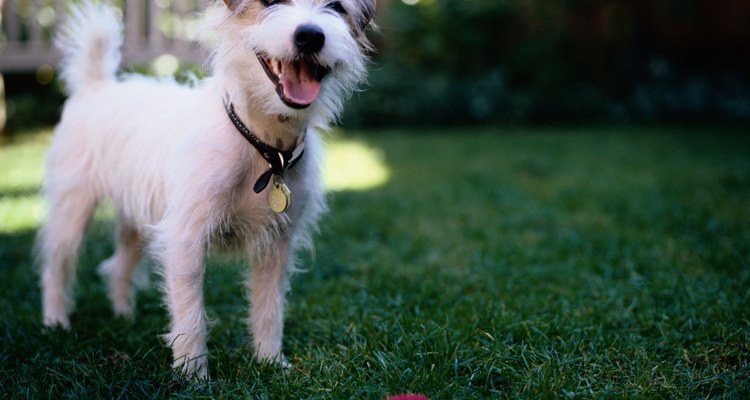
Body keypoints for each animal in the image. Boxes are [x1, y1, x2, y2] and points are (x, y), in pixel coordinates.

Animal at [37, 0, 376, 378]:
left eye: (337, 7)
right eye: (271, 3)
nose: (310, 36)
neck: (265, 149)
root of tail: (98, 85)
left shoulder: (277, 245)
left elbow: (269, 307)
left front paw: (271, 361)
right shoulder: (185, 239)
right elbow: (191, 314)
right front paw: (192, 374)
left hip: (137, 219)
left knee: (118, 265)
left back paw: (124, 317)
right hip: (72, 211)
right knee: (56, 267)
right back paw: (55, 323)